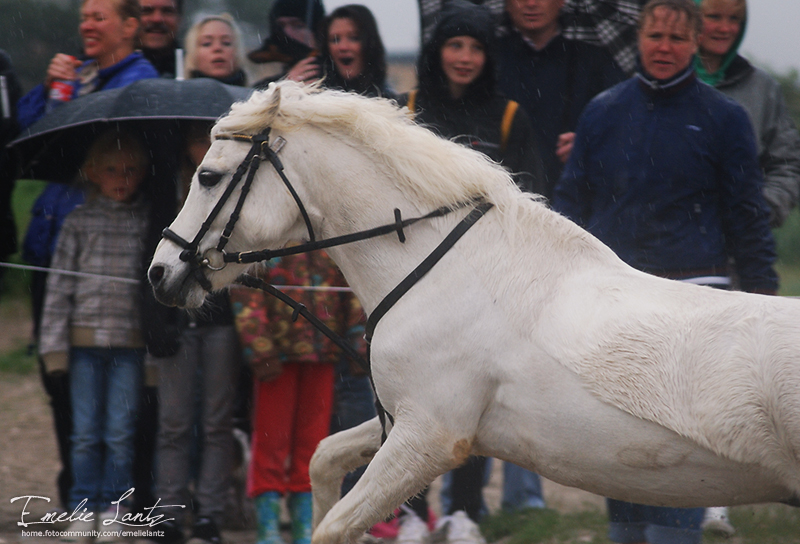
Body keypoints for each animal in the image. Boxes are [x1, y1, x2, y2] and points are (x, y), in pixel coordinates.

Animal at [152, 81, 800, 544]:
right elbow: (324, 457)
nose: (160, 274)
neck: (440, 269)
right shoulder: (407, 420)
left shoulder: (429, 438)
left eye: (207, 175)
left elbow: (334, 525)